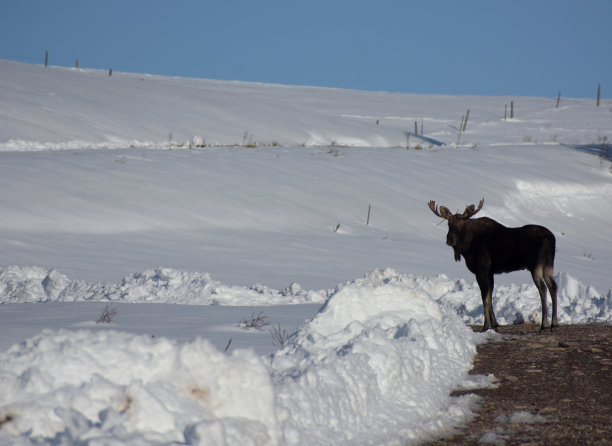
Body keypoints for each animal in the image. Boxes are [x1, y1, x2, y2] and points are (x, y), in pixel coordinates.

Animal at [428, 199, 556, 332]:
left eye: (461, 225)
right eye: (448, 224)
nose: (450, 240)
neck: (467, 249)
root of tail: (551, 238)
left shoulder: (481, 270)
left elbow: (484, 297)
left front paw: (486, 326)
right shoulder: (490, 272)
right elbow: (490, 295)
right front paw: (495, 324)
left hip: (535, 265)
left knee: (543, 288)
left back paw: (544, 324)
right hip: (548, 264)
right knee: (553, 286)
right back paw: (554, 323)